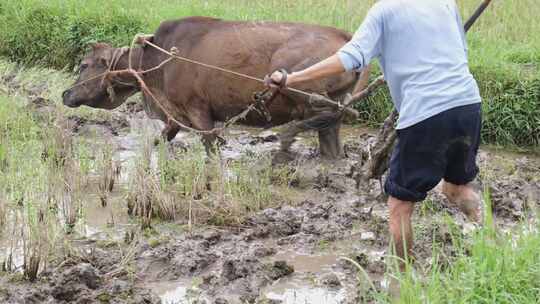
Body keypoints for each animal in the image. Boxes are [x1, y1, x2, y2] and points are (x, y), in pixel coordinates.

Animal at [61, 16, 362, 159]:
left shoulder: (198, 110)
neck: (153, 62)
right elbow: (160, 140)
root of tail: (345, 36)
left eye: (84, 64)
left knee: (326, 114)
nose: (65, 94)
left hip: (301, 85)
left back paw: (286, 139)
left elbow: (211, 146)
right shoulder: (176, 115)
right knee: (332, 133)